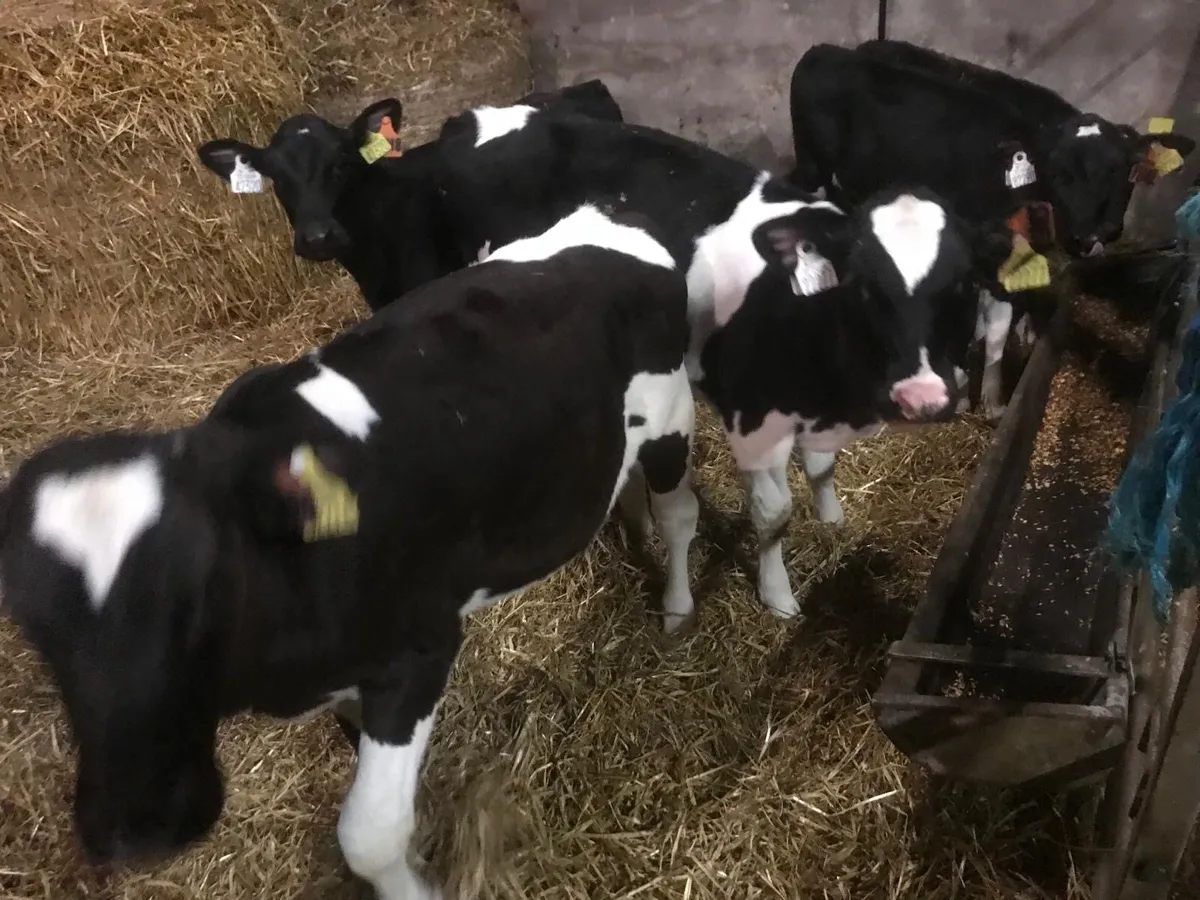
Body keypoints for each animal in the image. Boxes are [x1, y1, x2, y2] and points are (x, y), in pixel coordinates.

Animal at [0, 206, 699, 900]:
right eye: (33, 628)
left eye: (198, 587)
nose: (137, 824)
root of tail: (607, 217)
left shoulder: (419, 649)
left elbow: (369, 833)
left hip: (672, 421)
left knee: (680, 513)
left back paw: (677, 611)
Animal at [196, 97, 987, 624]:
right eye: (871, 287)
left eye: (959, 285)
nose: (927, 394)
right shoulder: (747, 406)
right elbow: (771, 513)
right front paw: (779, 596)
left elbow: (820, 469)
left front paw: (833, 517)